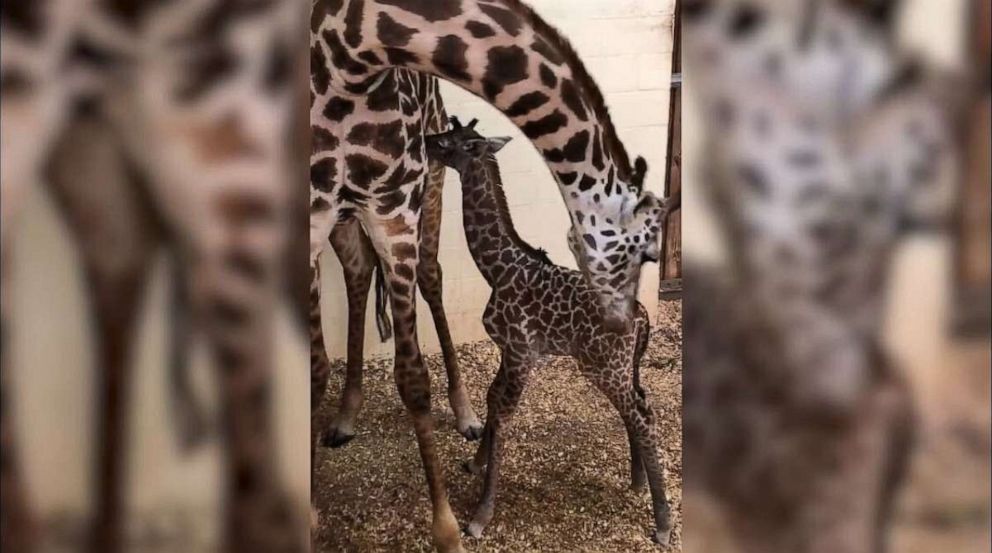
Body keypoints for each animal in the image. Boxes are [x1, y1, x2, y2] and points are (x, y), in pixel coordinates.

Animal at [426, 118, 676, 544]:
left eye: (452, 141)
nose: (424, 143)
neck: (496, 269)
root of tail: (643, 317)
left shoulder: (522, 353)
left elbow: (503, 416)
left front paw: (480, 516)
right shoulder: (509, 350)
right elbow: (491, 400)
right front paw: (475, 465)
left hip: (604, 368)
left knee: (644, 417)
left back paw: (662, 524)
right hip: (624, 369)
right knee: (641, 407)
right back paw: (638, 482)